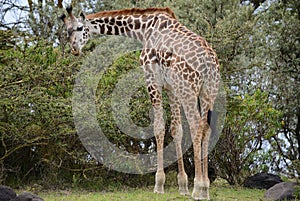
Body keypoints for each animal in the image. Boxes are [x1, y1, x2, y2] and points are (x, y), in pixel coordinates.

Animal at [61, 6, 220, 199]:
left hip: (188, 90)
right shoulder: (170, 87)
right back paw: (205, 188)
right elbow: (176, 129)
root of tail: (208, 63)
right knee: (206, 127)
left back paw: (198, 187)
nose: (74, 49)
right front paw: (182, 185)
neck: (143, 29)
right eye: (67, 31)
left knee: (196, 125)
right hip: (208, 92)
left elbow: (158, 127)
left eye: (79, 28)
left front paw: (159, 184)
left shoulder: (152, 79)